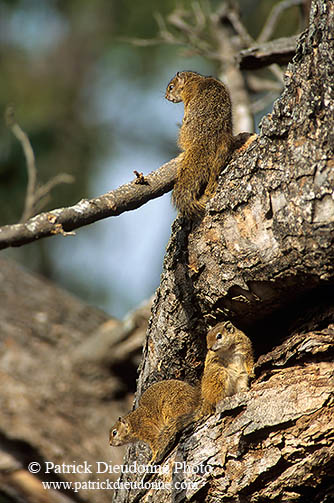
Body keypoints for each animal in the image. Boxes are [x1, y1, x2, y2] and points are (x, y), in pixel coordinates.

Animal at [166, 71, 234, 220]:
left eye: (171, 87)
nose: (166, 97)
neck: (194, 79)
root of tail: (205, 139)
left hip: (184, 135)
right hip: (225, 144)